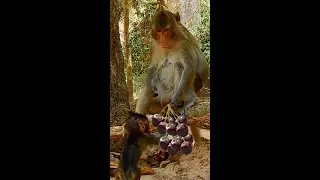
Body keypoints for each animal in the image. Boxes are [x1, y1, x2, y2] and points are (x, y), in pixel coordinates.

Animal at [135, 0, 210, 143]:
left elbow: (189, 67)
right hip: (161, 98)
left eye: (166, 30)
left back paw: (189, 99)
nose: (162, 39)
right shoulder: (156, 46)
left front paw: (177, 99)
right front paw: (149, 84)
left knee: (179, 66)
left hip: (182, 89)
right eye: (159, 31)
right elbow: (153, 68)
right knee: (149, 90)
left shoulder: (185, 42)